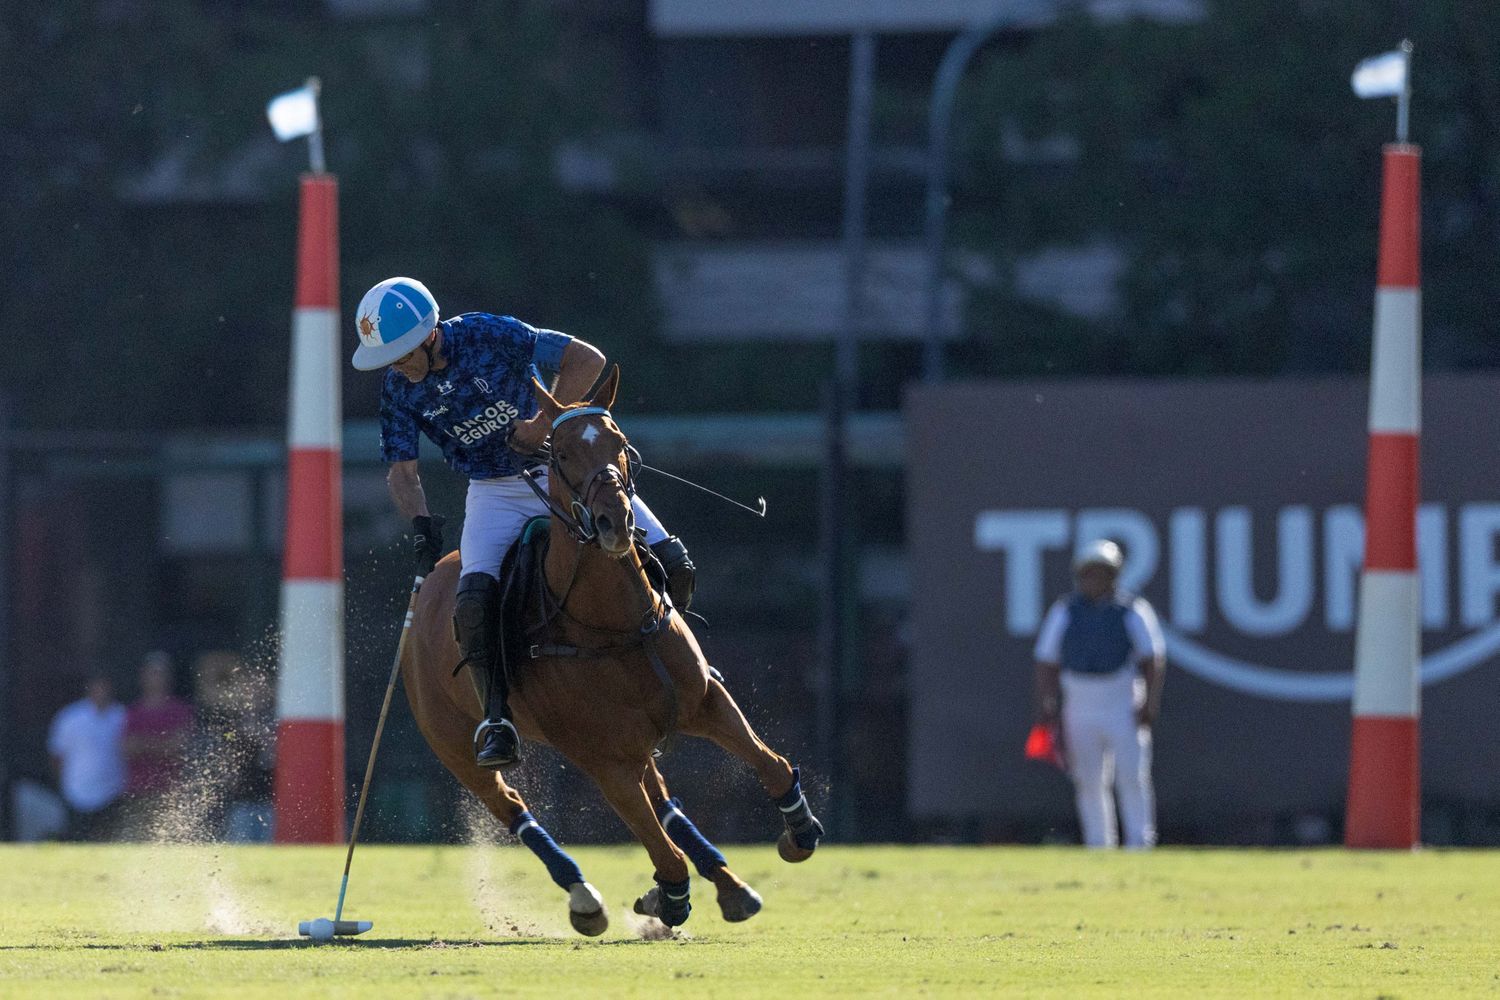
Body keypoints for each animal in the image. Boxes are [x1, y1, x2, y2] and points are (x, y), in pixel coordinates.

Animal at [402, 367, 822, 941]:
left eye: (619, 443)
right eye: (559, 454)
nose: (613, 523)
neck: (615, 623)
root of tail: (430, 583)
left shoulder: (705, 703)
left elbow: (772, 765)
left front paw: (798, 834)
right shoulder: (603, 759)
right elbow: (663, 855)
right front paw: (665, 898)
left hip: (643, 736)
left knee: (665, 803)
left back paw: (733, 888)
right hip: (455, 745)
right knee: (513, 809)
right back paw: (585, 897)